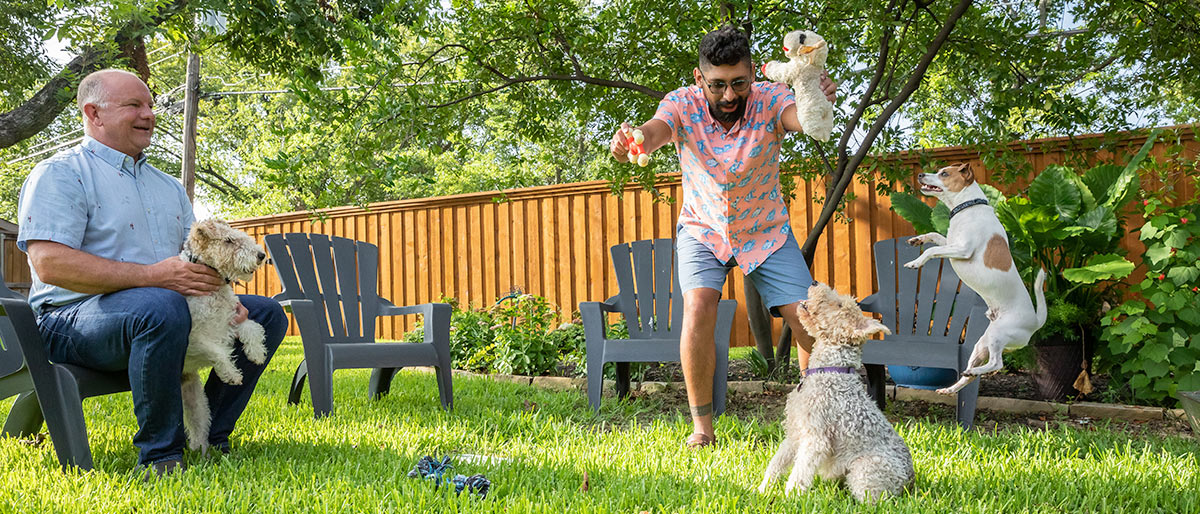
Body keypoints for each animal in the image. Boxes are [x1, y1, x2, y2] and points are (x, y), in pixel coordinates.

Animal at [902, 162, 1046, 396]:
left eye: (944, 173)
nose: (921, 174)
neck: (967, 207)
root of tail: (1035, 321)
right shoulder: (950, 242)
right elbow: (934, 236)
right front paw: (918, 239)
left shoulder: (962, 249)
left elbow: (932, 251)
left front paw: (916, 262)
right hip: (981, 345)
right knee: (971, 374)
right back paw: (952, 387)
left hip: (998, 335)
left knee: (997, 364)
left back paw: (972, 374)